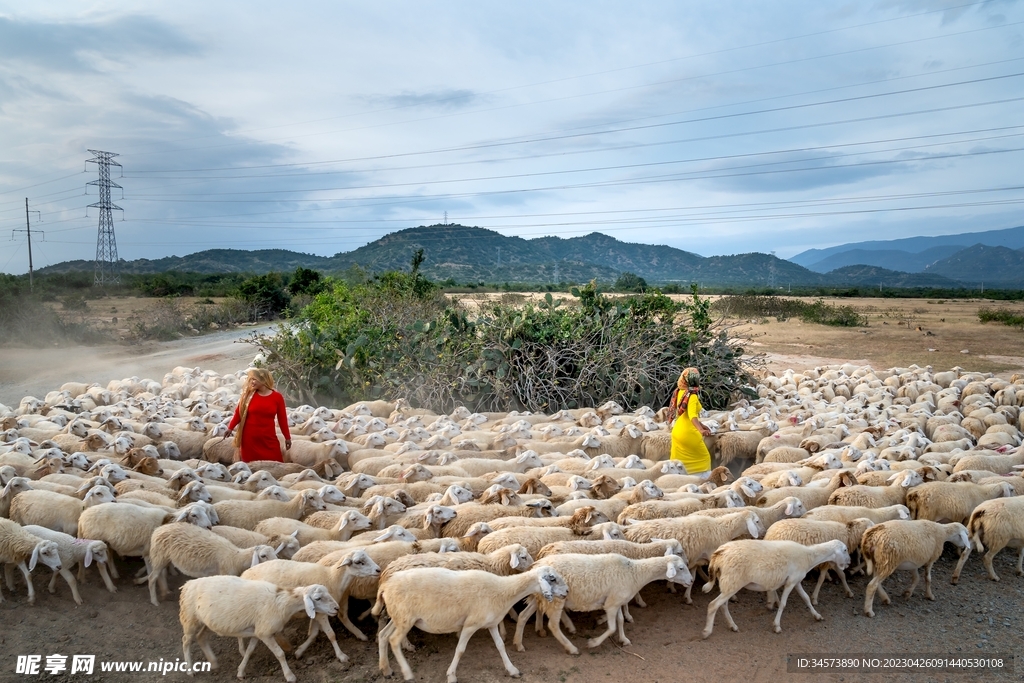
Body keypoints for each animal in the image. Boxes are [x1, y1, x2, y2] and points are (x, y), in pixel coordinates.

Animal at [176, 577, 335, 683]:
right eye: (318, 598)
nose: (336, 608)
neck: (282, 602)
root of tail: (187, 584)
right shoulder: (265, 632)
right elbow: (280, 654)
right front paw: (289, 676)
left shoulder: (257, 632)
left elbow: (249, 651)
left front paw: (240, 672)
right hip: (190, 619)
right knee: (185, 641)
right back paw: (190, 670)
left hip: (207, 622)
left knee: (201, 637)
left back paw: (213, 662)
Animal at [239, 552, 380, 663]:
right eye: (359, 562)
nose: (378, 570)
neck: (332, 578)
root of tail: (244, 573)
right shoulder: (322, 613)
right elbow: (331, 635)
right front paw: (341, 656)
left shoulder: (317, 612)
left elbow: (313, 633)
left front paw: (299, 651)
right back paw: (244, 650)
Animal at [374, 565, 569, 683]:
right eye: (552, 578)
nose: (567, 592)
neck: (503, 591)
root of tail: (385, 585)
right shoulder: (470, 625)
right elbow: (460, 650)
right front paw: (451, 675)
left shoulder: (491, 623)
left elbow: (500, 646)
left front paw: (512, 669)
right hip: (405, 618)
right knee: (393, 640)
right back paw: (407, 673)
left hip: (399, 617)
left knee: (383, 635)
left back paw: (386, 669)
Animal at [509, 552, 688, 655]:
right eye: (680, 568)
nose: (691, 580)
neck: (635, 572)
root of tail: (537, 566)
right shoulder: (611, 604)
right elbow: (612, 628)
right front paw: (593, 643)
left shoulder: (615, 600)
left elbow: (620, 621)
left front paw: (624, 639)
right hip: (557, 599)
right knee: (553, 625)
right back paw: (571, 648)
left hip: (541, 596)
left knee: (523, 616)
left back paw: (518, 644)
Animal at [700, 540, 851, 638]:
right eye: (845, 550)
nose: (849, 562)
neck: (809, 556)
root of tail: (719, 553)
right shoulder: (790, 582)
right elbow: (783, 604)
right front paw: (777, 626)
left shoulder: (796, 581)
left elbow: (806, 598)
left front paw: (817, 615)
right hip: (732, 582)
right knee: (713, 605)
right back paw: (707, 631)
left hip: (728, 583)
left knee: (723, 605)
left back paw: (732, 626)